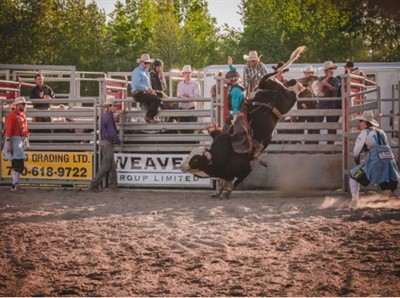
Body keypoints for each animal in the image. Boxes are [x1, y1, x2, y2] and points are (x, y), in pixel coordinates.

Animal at [181, 46, 310, 200]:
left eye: (195, 159)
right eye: (190, 154)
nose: (181, 165)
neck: (222, 154)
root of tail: (263, 84)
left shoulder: (245, 169)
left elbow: (233, 182)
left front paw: (226, 193)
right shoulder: (226, 172)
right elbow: (223, 180)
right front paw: (218, 192)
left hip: (286, 100)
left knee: (292, 88)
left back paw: (301, 84)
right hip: (281, 89)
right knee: (288, 81)